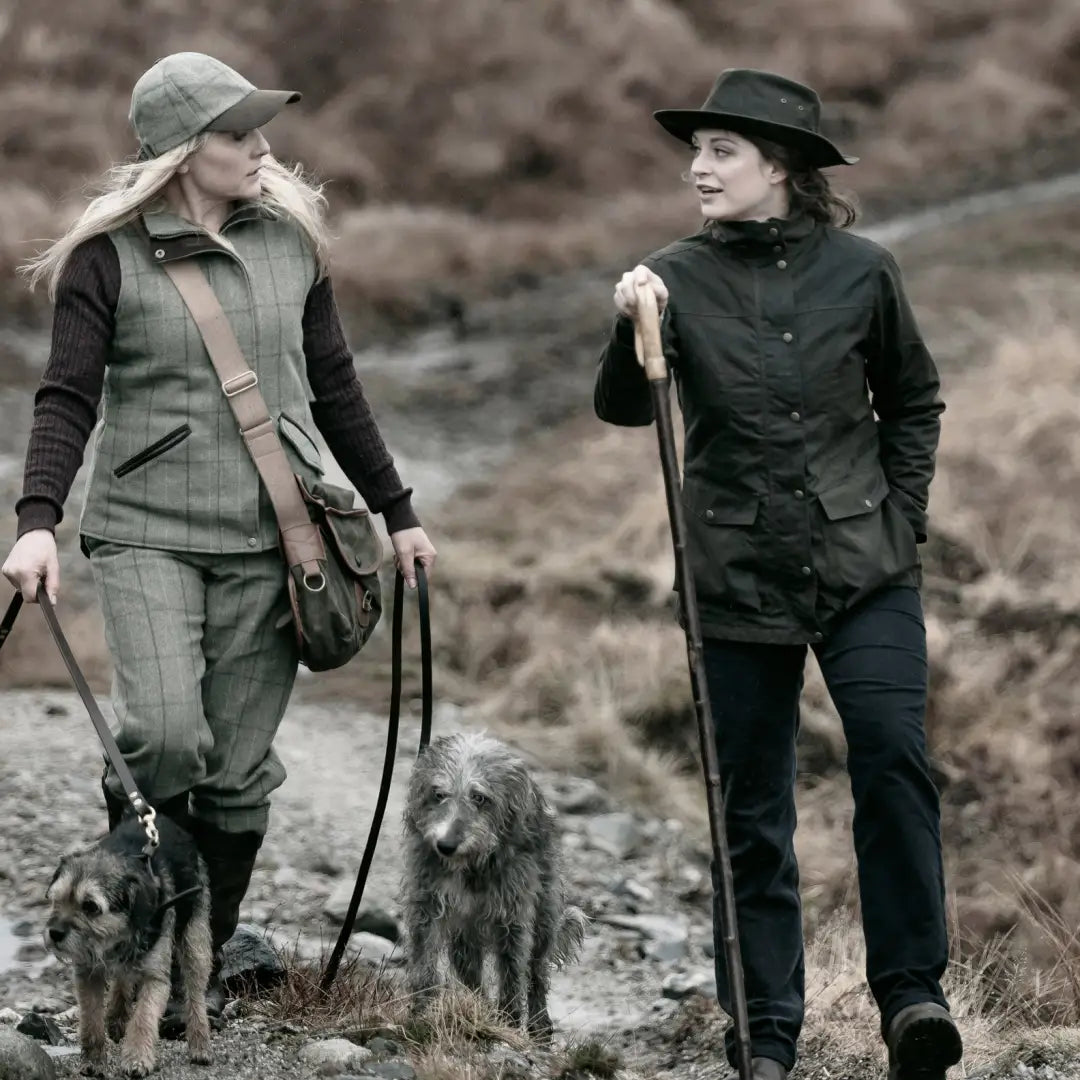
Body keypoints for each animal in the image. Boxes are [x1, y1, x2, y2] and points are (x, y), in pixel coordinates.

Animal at [44, 812, 212, 1075]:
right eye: (56, 899)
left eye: (90, 906)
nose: (55, 933)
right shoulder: (87, 973)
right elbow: (91, 1018)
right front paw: (93, 1061)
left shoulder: (155, 977)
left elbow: (143, 1017)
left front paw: (137, 1059)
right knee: (123, 979)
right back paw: (116, 1017)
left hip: (195, 939)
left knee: (195, 993)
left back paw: (200, 1044)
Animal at [403, 730, 587, 1041]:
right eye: (438, 794)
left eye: (479, 797)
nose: (445, 845)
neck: (470, 864)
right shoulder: (427, 904)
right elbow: (424, 956)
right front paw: (422, 1010)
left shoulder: (511, 916)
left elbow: (512, 969)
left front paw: (509, 1022)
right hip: (465, 938)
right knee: (471, 971)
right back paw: (479, 1006)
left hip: (545, 914)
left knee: (536, 969)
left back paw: (538, 1023)